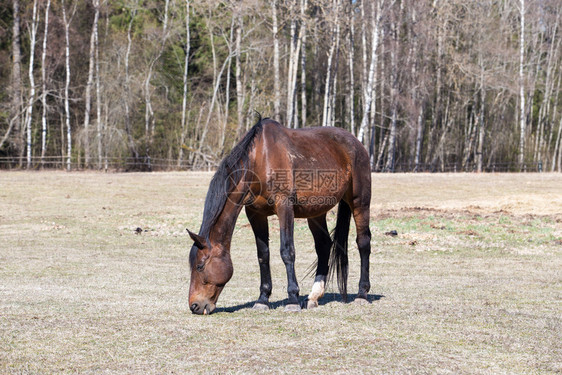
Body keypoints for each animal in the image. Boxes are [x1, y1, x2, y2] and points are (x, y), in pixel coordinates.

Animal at [188, 117, 370, 314]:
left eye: (200, 266)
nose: (194, 306)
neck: (260, 159)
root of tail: (356, 142)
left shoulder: (284, 207)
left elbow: (287, 251)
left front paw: (292, 298)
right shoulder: (255, 214)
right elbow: (263, 254)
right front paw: (263, 299)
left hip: (359, 202)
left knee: (363, 242)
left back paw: (362, 294)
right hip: (316, 212)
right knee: (323, 246)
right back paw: (313, 297)